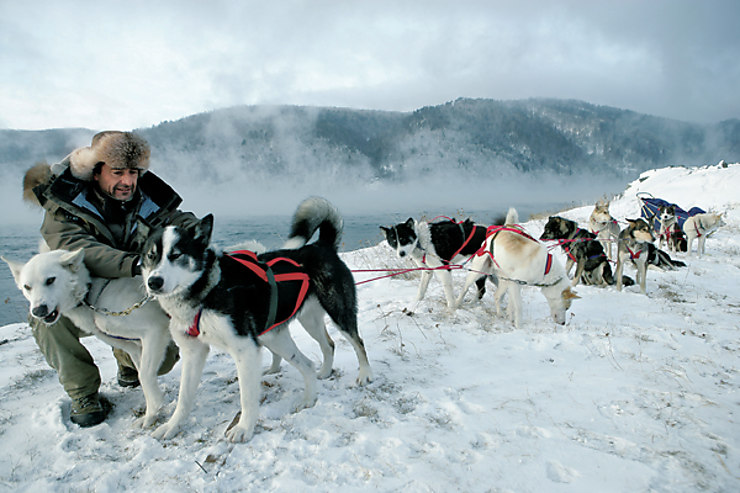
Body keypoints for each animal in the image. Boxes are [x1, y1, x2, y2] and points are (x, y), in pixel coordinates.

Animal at [2, 250, 172, 426]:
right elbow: (143, 377)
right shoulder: (134, 346)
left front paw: (153, 412)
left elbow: (145, 376)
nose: (38, 310)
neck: (92, 292)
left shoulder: (155, 331)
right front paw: (151, 414)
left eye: (50, 280)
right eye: (27, 287)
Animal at [143, 196, 376, 442]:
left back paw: (365, 374)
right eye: (151, 255)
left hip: (338, 313)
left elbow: (246, 396)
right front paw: (172, 426)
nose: (154, 282)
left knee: (357, 342)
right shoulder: (193, 352)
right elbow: (184, 397)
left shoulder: (244, 348)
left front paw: (244, 428)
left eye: (176, 255)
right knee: (321, 350)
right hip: (297, 327)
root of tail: (321, 246)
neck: (209, 288)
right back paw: (315, 388)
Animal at [450, 208, 580, 326]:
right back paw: (456, 304)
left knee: (497, 296)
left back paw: (500, 314)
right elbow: (518, 307)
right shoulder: (515, 284)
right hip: (479, 271)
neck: (545, 269)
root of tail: (505, 226)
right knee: (465, 288)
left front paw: (510, 318)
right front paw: (518, 325)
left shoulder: (515, 284)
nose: (563, 323)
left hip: (504, 279)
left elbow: (511, 305)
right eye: (567, 307)